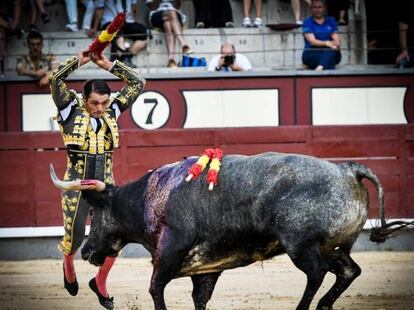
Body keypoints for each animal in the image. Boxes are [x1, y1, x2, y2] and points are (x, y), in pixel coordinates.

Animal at [50, 153, 400, 310]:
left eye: (93, 212)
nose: (86, 251)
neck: (150, 195)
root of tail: (347, 169)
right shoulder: (206, 268)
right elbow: (199, 298)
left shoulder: (168, 253)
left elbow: (155, 289)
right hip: (333, 246)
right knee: (348, 271)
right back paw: (325, 305)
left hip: (301, 246)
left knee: (316, 273)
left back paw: (305, 309)